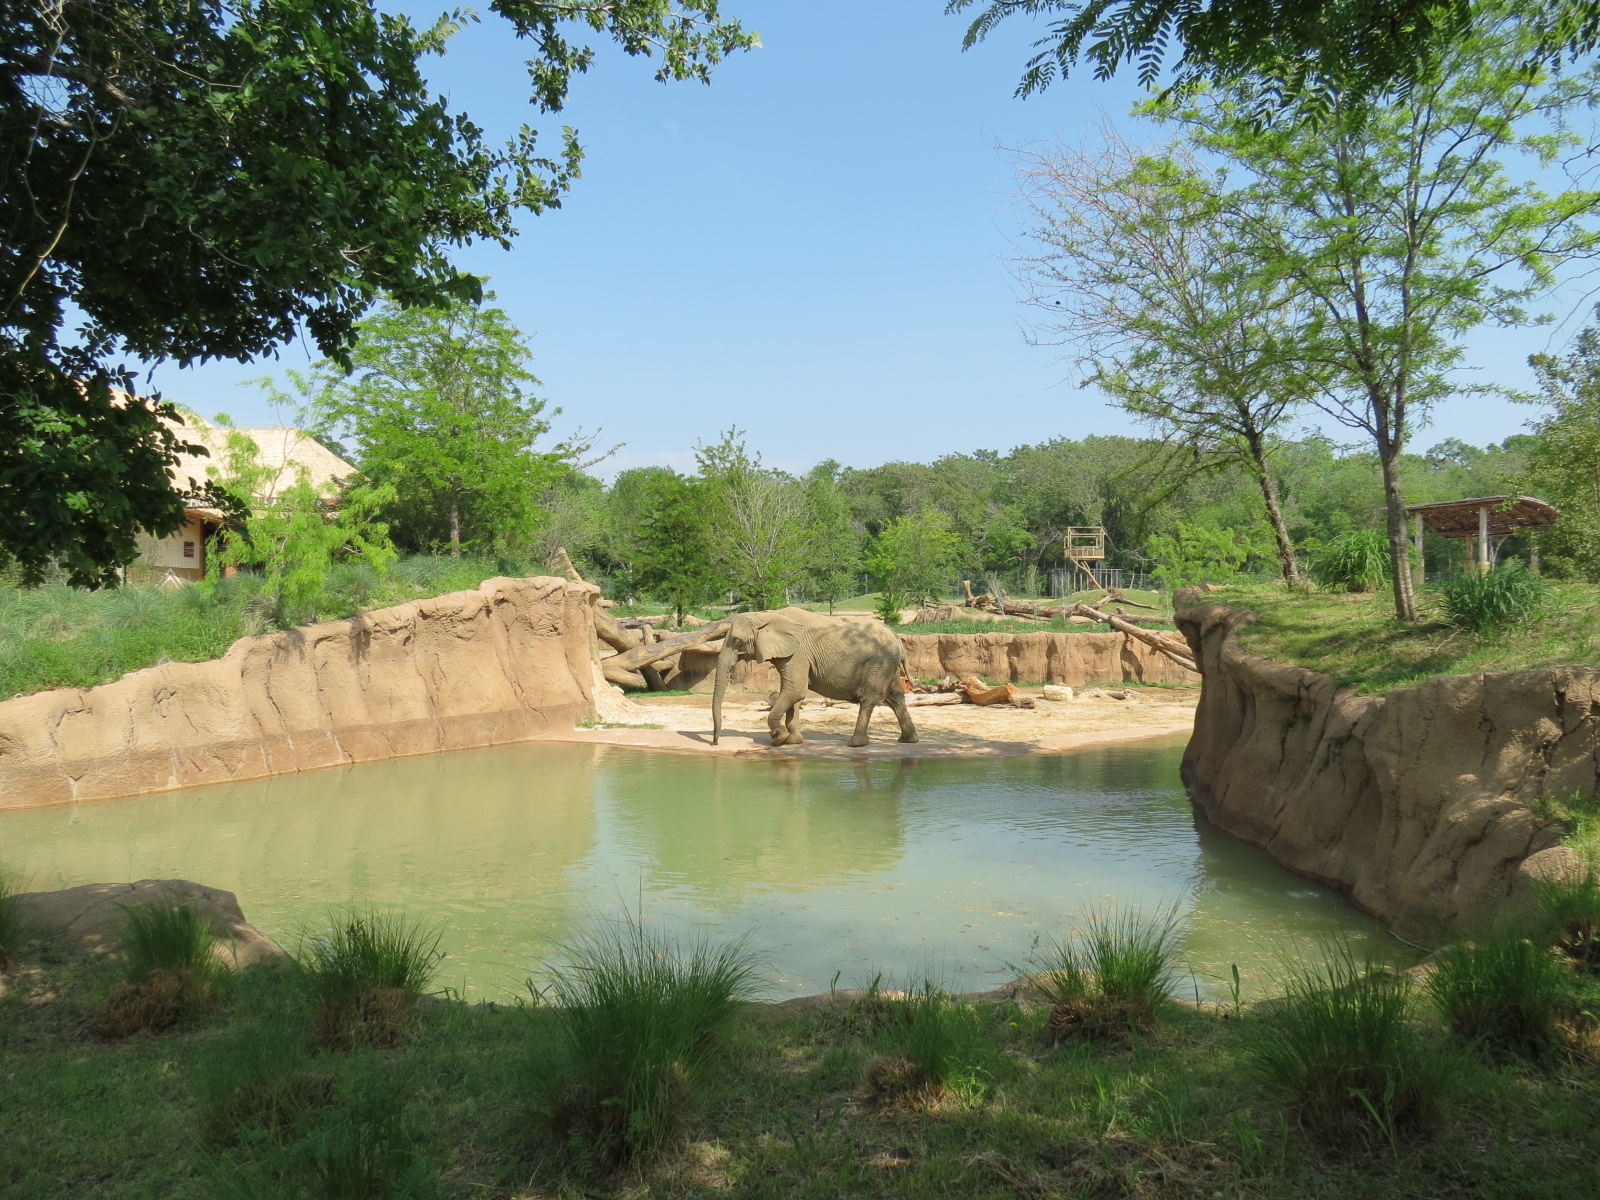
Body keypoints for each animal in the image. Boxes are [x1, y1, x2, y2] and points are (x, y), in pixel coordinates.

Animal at [711, 607, 919, 749]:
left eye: (737, 640)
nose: (715, 743)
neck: (768, 615)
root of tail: (898, 638)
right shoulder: (791, 654)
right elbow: (791, 692)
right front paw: (793, 740)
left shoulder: (798, 652)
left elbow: (795, 690)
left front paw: (779, 738)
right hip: (888, 665)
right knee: (896, 698)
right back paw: (908, 740)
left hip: (879, 664)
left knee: (870, 699)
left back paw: (856, 744)